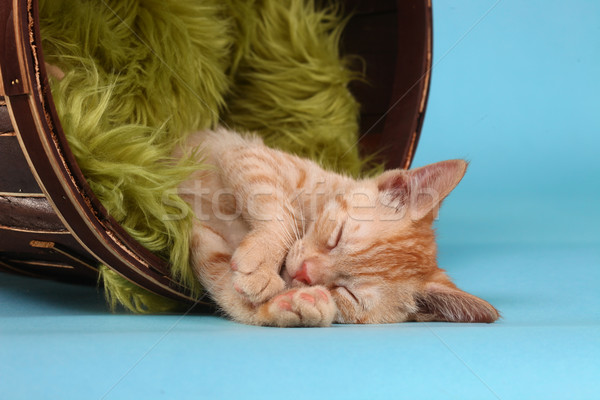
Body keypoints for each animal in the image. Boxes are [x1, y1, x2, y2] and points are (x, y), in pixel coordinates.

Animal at [177, 128, 496, 324]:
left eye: (347, 292)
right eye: (337, 237)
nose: (303, 274)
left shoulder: (205, 242)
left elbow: (225, 288)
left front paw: (293, 305)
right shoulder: (246, 153)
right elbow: (283, 213)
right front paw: (264, 259)